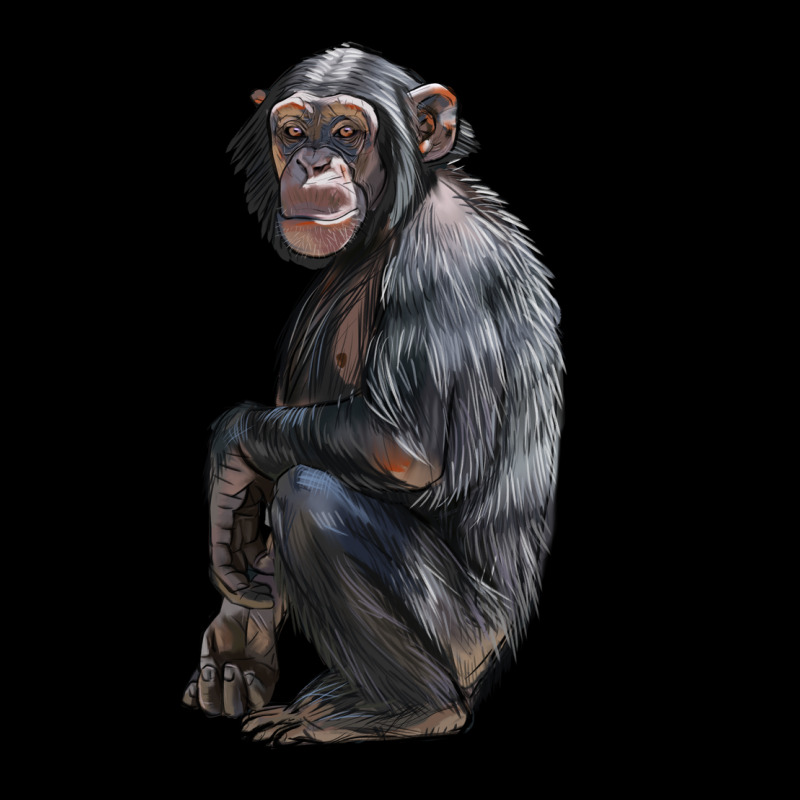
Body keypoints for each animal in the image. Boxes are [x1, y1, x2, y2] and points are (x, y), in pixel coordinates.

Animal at [182, 44, 564, 745]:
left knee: (313, 496)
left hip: (469, 638)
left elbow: (400, 446)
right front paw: (236, 644)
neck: (392, 222)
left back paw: (400, 710)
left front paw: (231, 451)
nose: (312, 163)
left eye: (347, 132)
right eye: (293, 132)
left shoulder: (441, 271)